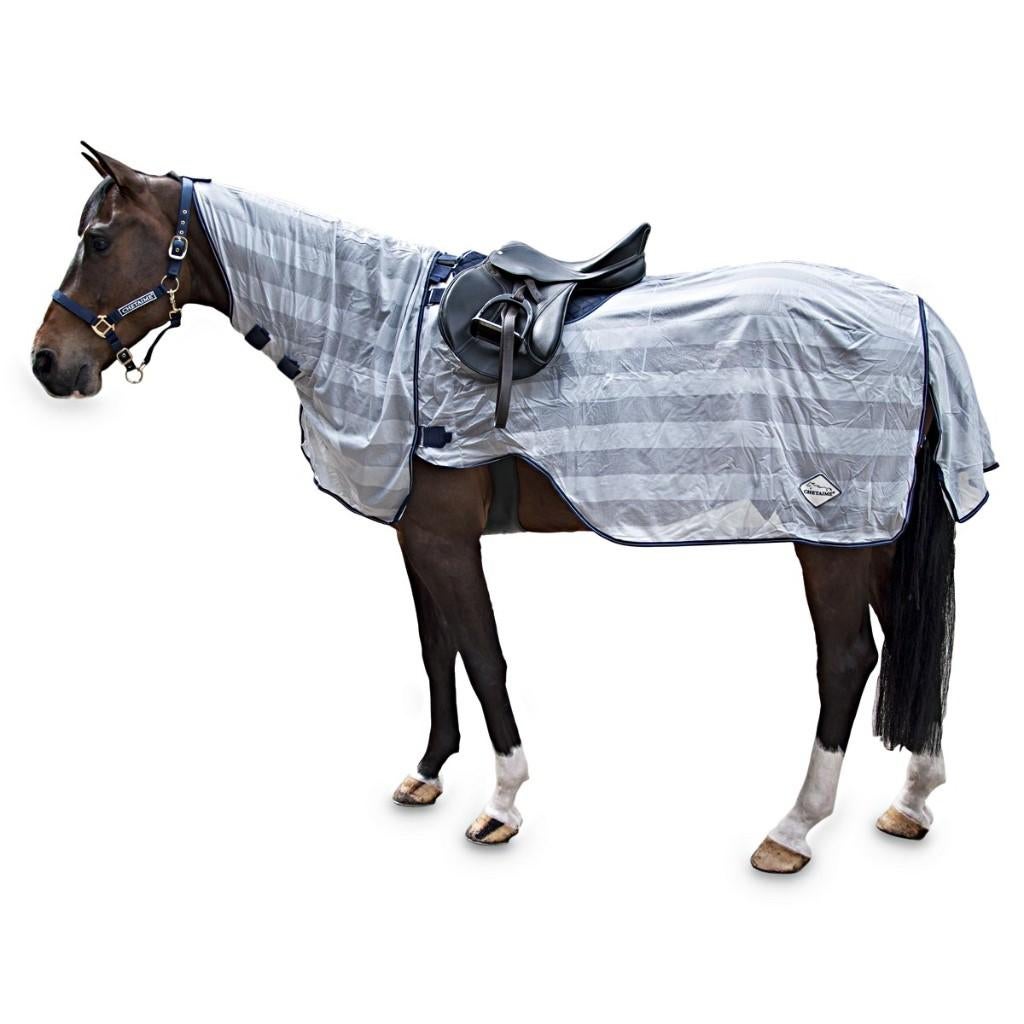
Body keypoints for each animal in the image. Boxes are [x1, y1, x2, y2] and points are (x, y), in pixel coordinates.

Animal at [31, 143, 995, 873]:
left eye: (100, 240)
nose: (47, 362)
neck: (375, 331)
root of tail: (917, 314)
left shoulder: (448, 539)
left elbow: (484, 656)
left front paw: (501, 802)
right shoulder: (418, 536)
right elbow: (437, 653)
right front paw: (427, 772)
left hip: (829, 535)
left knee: (847, 662)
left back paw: (793, 828)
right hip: (873, 533)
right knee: (912, 640)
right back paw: (913, 801)